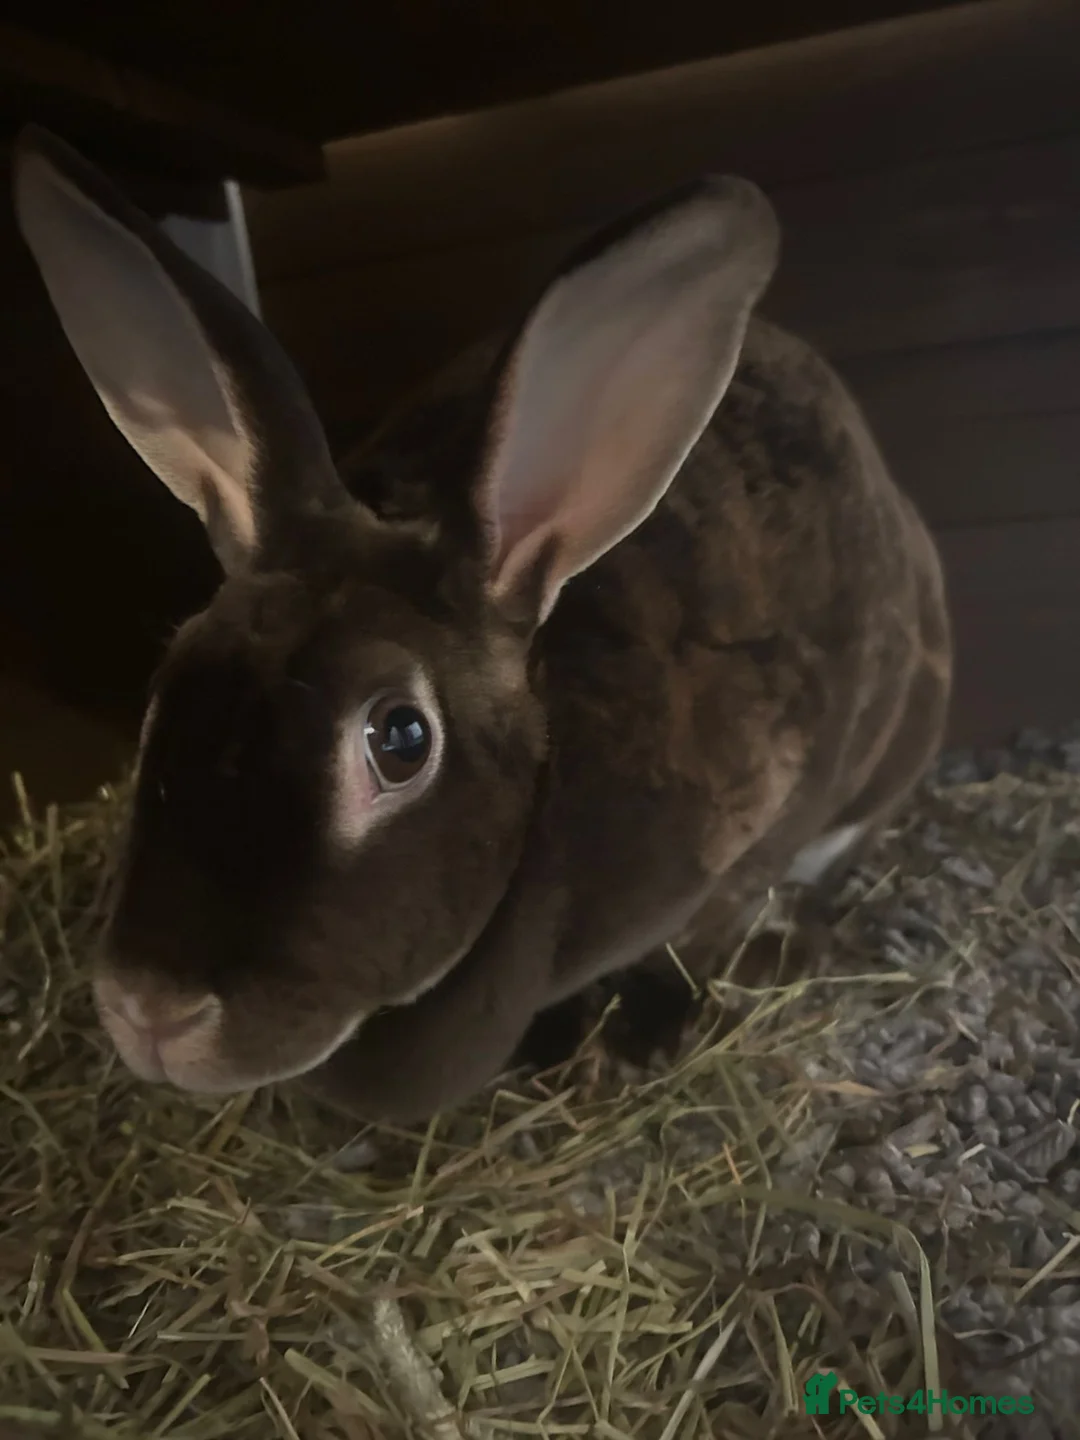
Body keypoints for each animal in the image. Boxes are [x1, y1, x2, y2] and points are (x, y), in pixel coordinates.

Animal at [11, 125, 952, 1125]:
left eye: (400, 738)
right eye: (165, 695)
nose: (152, 1011)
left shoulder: (753, 829)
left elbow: (695, 941)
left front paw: (640, 1039)